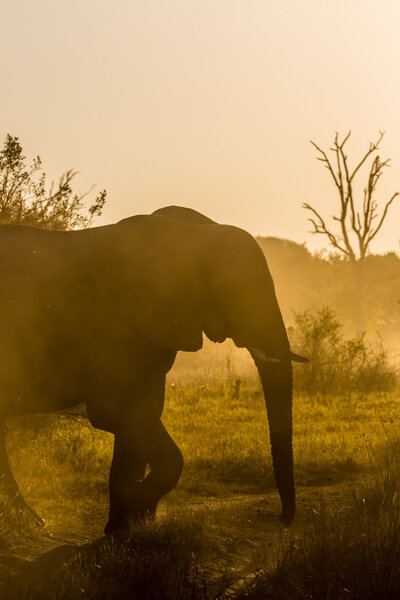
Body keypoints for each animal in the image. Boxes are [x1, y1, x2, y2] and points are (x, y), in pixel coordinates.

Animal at [0, 207, 310, 536]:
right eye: (235, 292)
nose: (281, 520)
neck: (192, 234)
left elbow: (140, 414)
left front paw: (124, 526)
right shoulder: (112, 328)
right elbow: (115, 412)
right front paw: (135, 513)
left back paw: (28, 521)